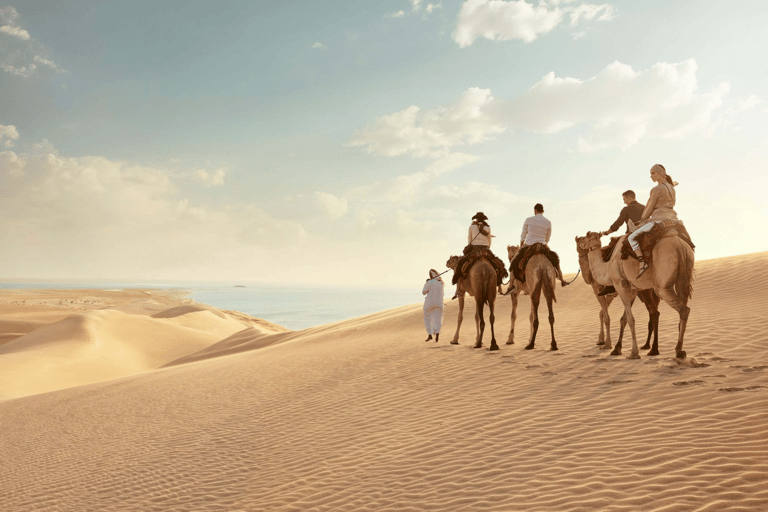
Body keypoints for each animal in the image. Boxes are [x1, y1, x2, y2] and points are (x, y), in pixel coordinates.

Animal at [580, 232, 692, 360]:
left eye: (587, 236)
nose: (580, 241)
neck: (607, 267)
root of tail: (680, 246)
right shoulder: (632, 290)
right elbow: (623, 319)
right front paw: (617, 349)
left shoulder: (620, 285)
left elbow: (630, 319)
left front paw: (633, 352)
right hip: (683, 275)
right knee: (680, 307)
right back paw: (677, 350)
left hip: (662, 285)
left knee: (682, 309)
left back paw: (673, 350)